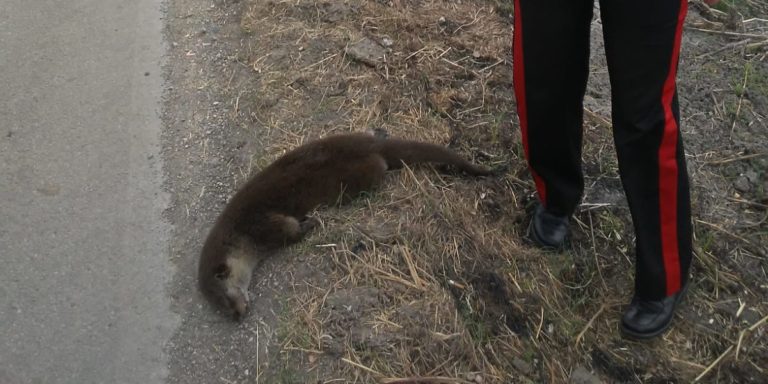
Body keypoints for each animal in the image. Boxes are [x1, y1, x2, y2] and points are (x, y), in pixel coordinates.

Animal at [196, 134, 486, 320]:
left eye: (225, 301)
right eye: (221, 308)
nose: (237, 315)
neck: (239, 236)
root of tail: (371, 144)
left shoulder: (259, 224)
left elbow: (289, 229)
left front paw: (312, 222)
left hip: (359, 176)